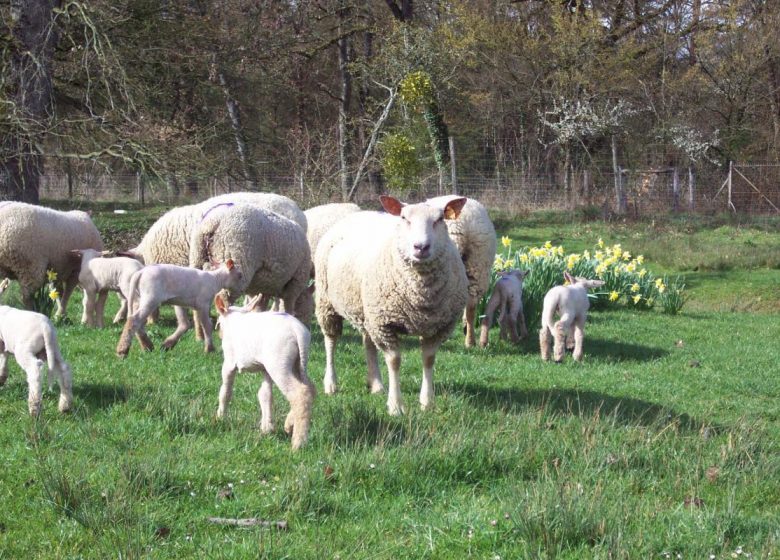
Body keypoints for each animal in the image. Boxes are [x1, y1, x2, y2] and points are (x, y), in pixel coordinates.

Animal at [0, 278, 72, 416]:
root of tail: (45, 326)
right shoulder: (3, 345)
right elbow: (3, 361)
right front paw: (1, 378)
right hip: (52, 348)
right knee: (64, 369)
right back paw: (65, 406)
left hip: (24, 350)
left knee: (35, 369)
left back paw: (34, 409)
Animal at [215, 294, 316, 450]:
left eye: (218, 323)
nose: (219, 333)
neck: (235, 319)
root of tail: (298, 332)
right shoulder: (264, 368)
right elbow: (265, 394)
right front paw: (267, 428)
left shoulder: (229, 362)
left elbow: (225, 391)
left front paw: (220, 417)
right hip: (295, 362)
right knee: (310, 388)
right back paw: (289, 424)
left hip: (279, 363)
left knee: (300, 394)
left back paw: (298, 443)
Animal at [312, 196, 470, 416]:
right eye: (404, 218)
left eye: (439, 220)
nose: (421, 247)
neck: (421, 294)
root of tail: (357, 213)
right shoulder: (385, 323)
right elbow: (394, 361)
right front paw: (395, 406)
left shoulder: (438, 326)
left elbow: (429, 359)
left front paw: (427, 402)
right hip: (327, 301)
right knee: (331, 341)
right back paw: (331, 383)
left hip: (367, 311)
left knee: (368, 343)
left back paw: (376, 384)